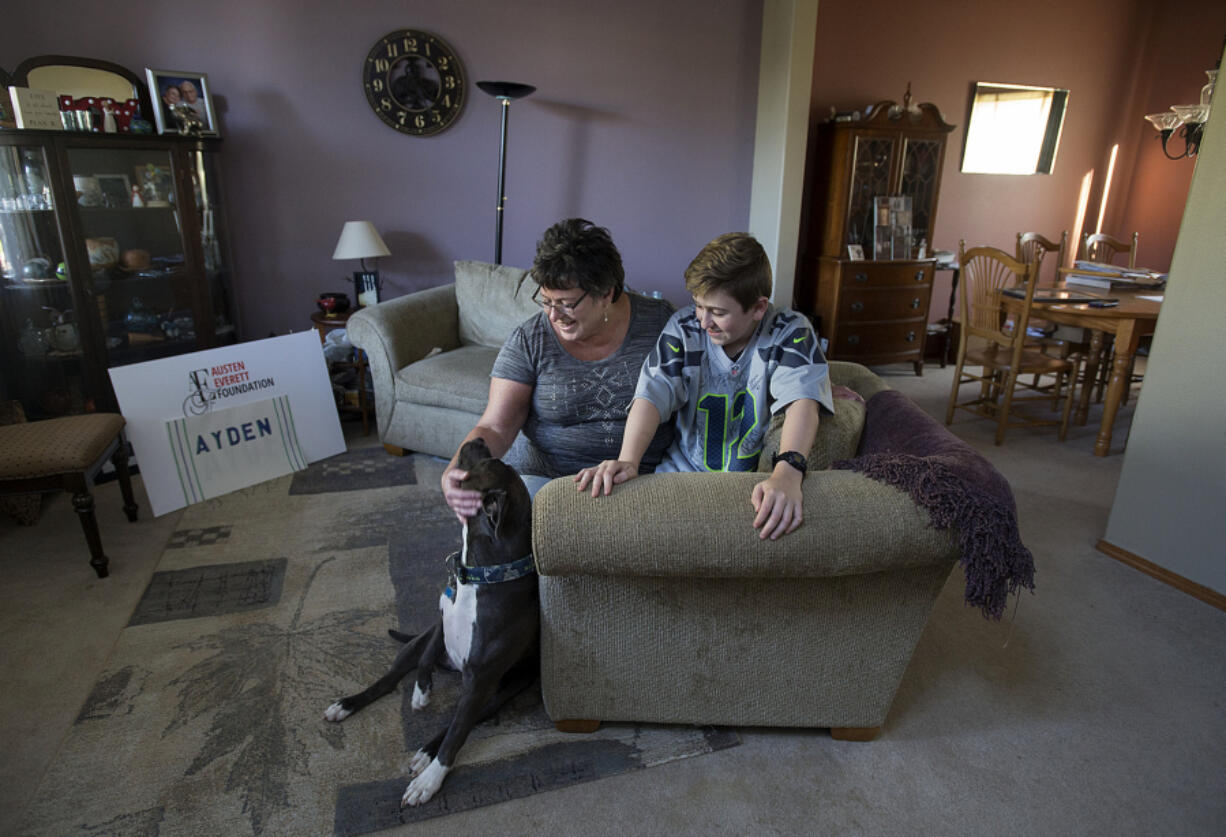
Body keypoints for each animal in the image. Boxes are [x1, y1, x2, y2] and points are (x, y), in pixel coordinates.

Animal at [323, 441, 539, 808]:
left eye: (483, 465)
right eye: (490, 458)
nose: (478, 439)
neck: (481, 576)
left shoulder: (479, 682)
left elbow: (455, 736)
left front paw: (430, 780)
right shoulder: (440, 622)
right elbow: (426, 659)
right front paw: (421, 691)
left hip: (496, 693)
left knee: (455, 725)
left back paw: (425, 754)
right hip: (412, 646)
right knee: (389, 680)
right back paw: (348, 704)